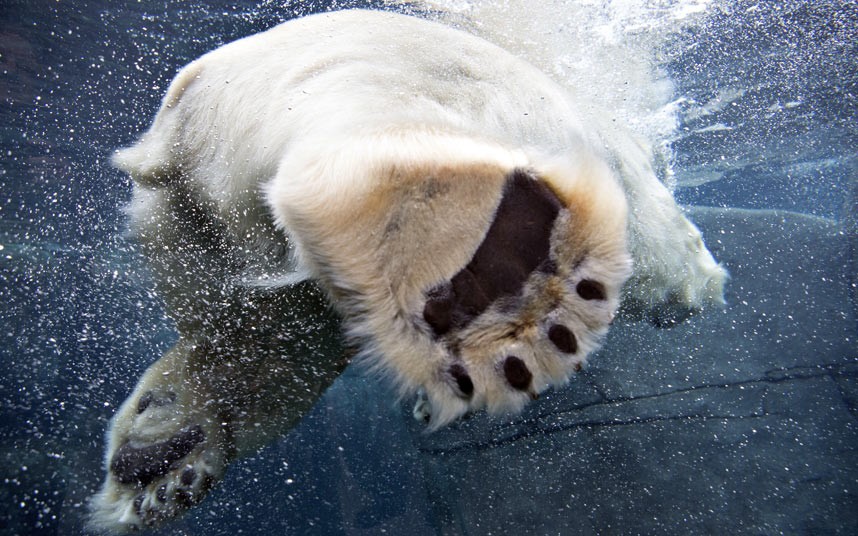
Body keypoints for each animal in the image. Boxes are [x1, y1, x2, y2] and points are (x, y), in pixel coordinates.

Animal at [92, 7, 724, 532]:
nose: (708, 300)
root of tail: (178, 122)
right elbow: (660, 243)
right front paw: (691, 284)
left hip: (192, 234)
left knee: (261, 348)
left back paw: (156, 463)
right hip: (346, 85)